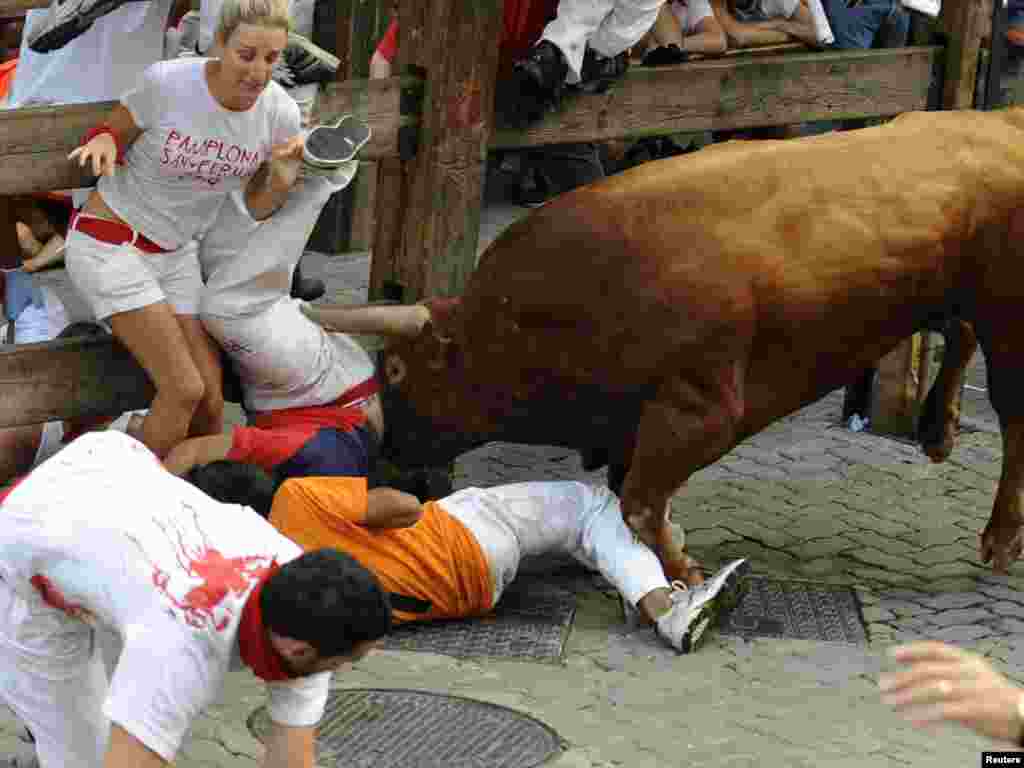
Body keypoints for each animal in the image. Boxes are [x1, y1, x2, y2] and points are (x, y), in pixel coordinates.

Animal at [372, 107, 1024, 577]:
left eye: (398, 371)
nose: (384, 453)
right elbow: (629, 499)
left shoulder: (701, 408)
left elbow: (639, 502)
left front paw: (683, 570)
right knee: (959, 332)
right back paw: (937, 430)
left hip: (1009, 323)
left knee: (1013, 422)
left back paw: (999, 539)